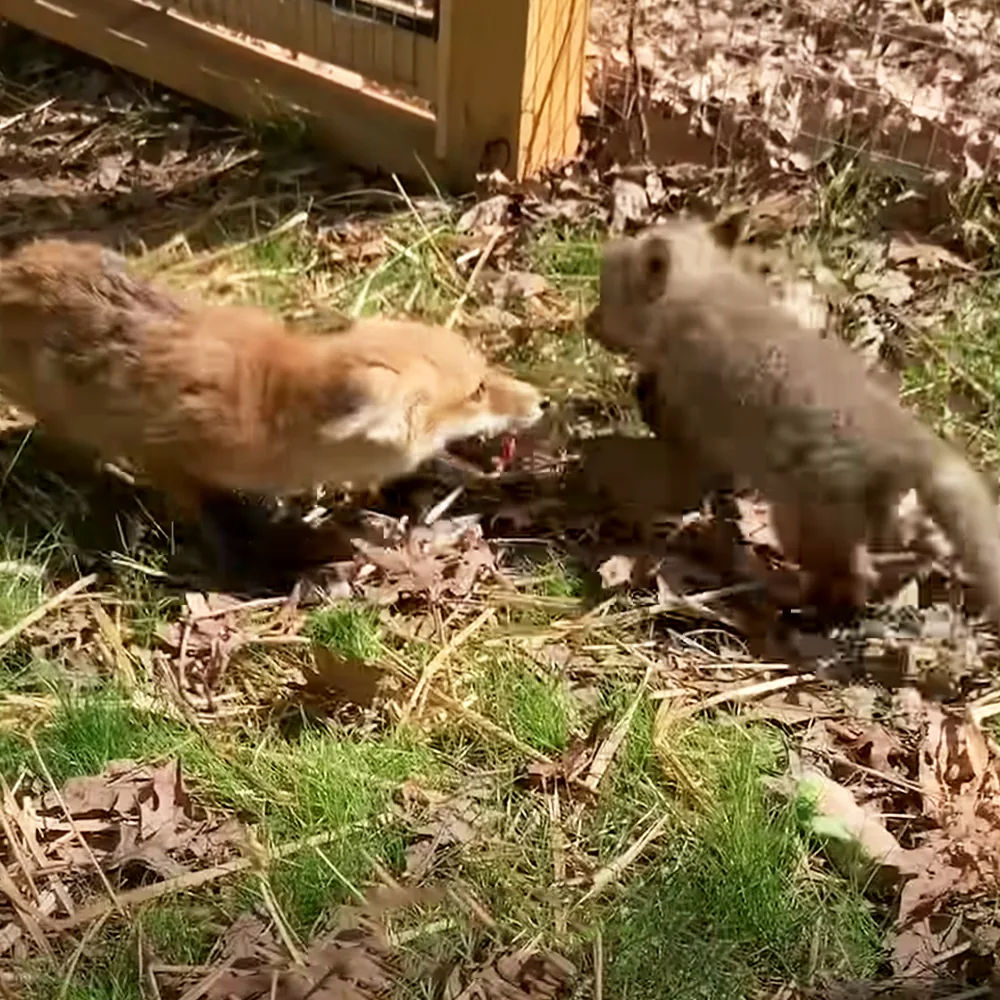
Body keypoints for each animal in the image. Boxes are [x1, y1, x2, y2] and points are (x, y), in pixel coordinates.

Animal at [0, 239, 545, 563]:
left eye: (485, 372)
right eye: (476, 392)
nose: (541, 401)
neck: (269, 409)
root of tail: (16, 265)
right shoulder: (166, 454)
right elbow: (201, 512)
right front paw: (234, 553)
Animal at [584, 216, 1000, 626]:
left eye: (605, 298)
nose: (587, 324)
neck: (706, 293)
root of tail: (910, 443)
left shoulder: (689, 409)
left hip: (802, 525)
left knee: (851, 577)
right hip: (883, 522)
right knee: (908, 555)